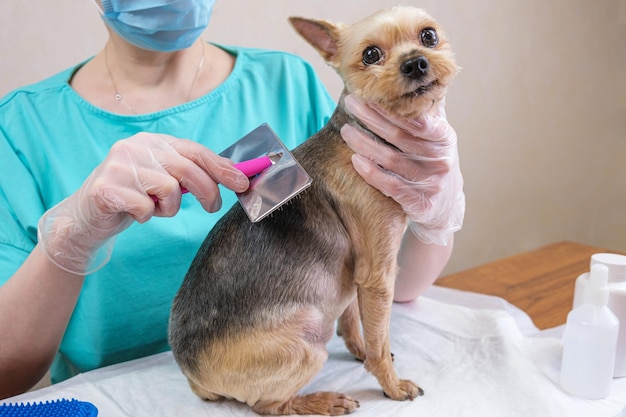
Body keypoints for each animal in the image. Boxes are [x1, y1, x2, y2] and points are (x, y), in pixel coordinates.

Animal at [168, 4, 456, 414]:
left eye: (428, 36)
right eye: (371, 55)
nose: (416, 62)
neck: (366, 139)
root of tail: (192, 376)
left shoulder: (353, 275)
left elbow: (353, 321)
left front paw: (360, 351)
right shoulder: (377, 273)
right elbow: (379, 339)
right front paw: (391, 384)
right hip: (307, 341)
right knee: (268, 405)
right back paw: (320, 401)